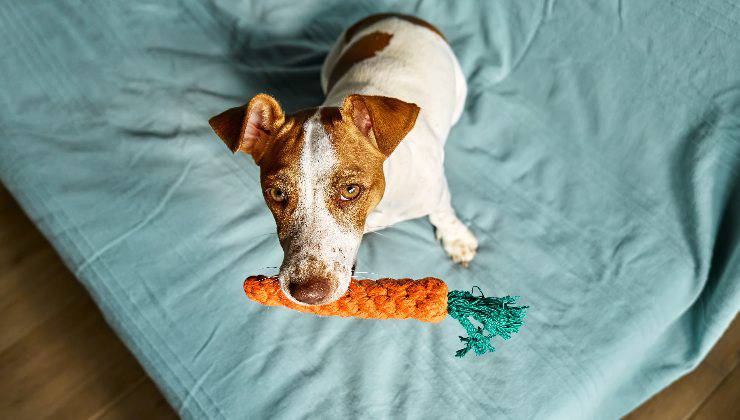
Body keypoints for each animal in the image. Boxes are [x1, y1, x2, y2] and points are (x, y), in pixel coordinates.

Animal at [208, 13, 476, 306]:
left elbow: (443, 211)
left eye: (351, 190)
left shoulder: (435, 190)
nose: (309, 294)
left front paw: (456, 238)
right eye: (277, 193)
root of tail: (398, 15)